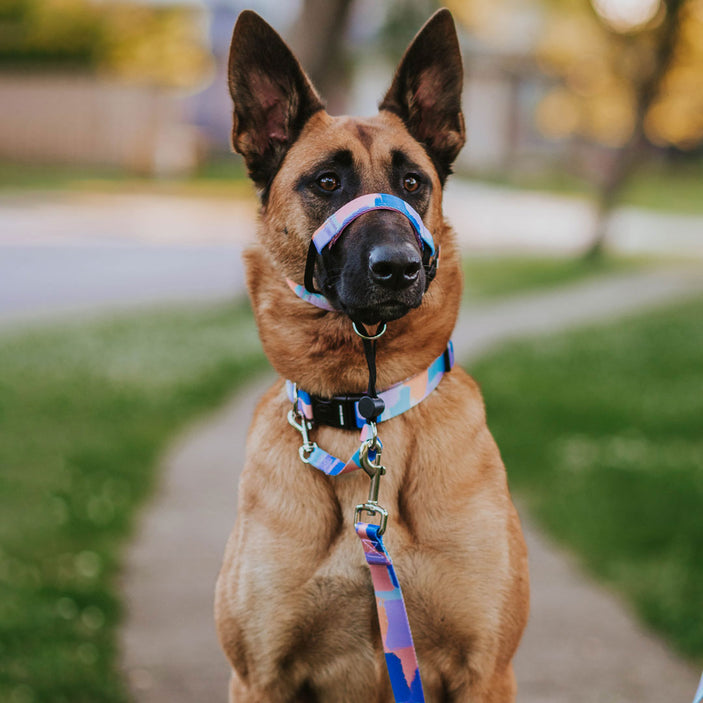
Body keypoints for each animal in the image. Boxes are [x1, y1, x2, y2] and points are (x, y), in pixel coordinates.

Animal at [214, 6, 528, 703]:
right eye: (327, 182)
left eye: (413, 182)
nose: (399, 268)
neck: (365, 405)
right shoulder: (258, 675)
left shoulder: (485, 670)